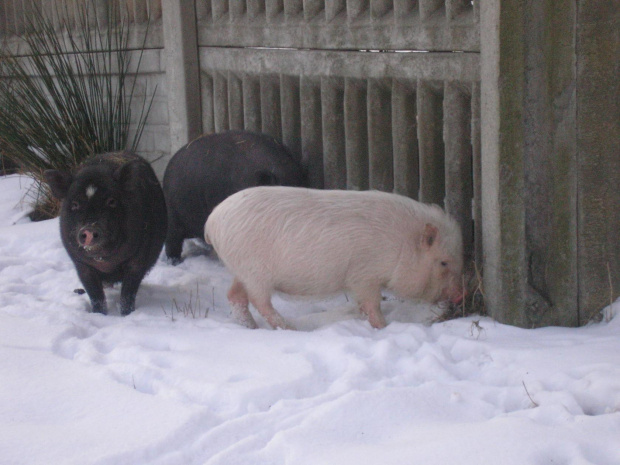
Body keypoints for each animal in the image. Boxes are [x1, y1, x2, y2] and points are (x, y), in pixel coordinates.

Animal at [44, 152, 167, 316]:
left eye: (111, 201)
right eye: (75, 204)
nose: (89, 229)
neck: (105, 262)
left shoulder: (138, 259)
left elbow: (128, 293)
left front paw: (126, 314)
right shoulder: (81, 265)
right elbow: (95, 295)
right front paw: (99, 314)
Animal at [205, 186, 464, 330]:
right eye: (443, 262)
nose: (462, 295)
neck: (401, 244)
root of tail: (212, 221)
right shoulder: (363, 275)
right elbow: (371, 303)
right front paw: (383, 327)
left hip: (241, 269)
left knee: (235, 295)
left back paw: (250, 327)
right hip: (255, 271)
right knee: (260, 302)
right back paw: (290, 329)